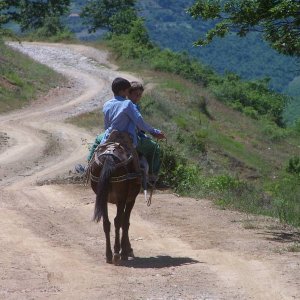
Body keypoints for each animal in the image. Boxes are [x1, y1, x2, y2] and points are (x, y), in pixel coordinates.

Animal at [88, 132, 142, 264]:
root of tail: (109, 157)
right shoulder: (130, 199)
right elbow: (125, 223)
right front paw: (126, 251)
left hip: (102, 197)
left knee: (106, 223)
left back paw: (109, 254)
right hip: (122, 197)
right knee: (118, 221)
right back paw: (117, 253)